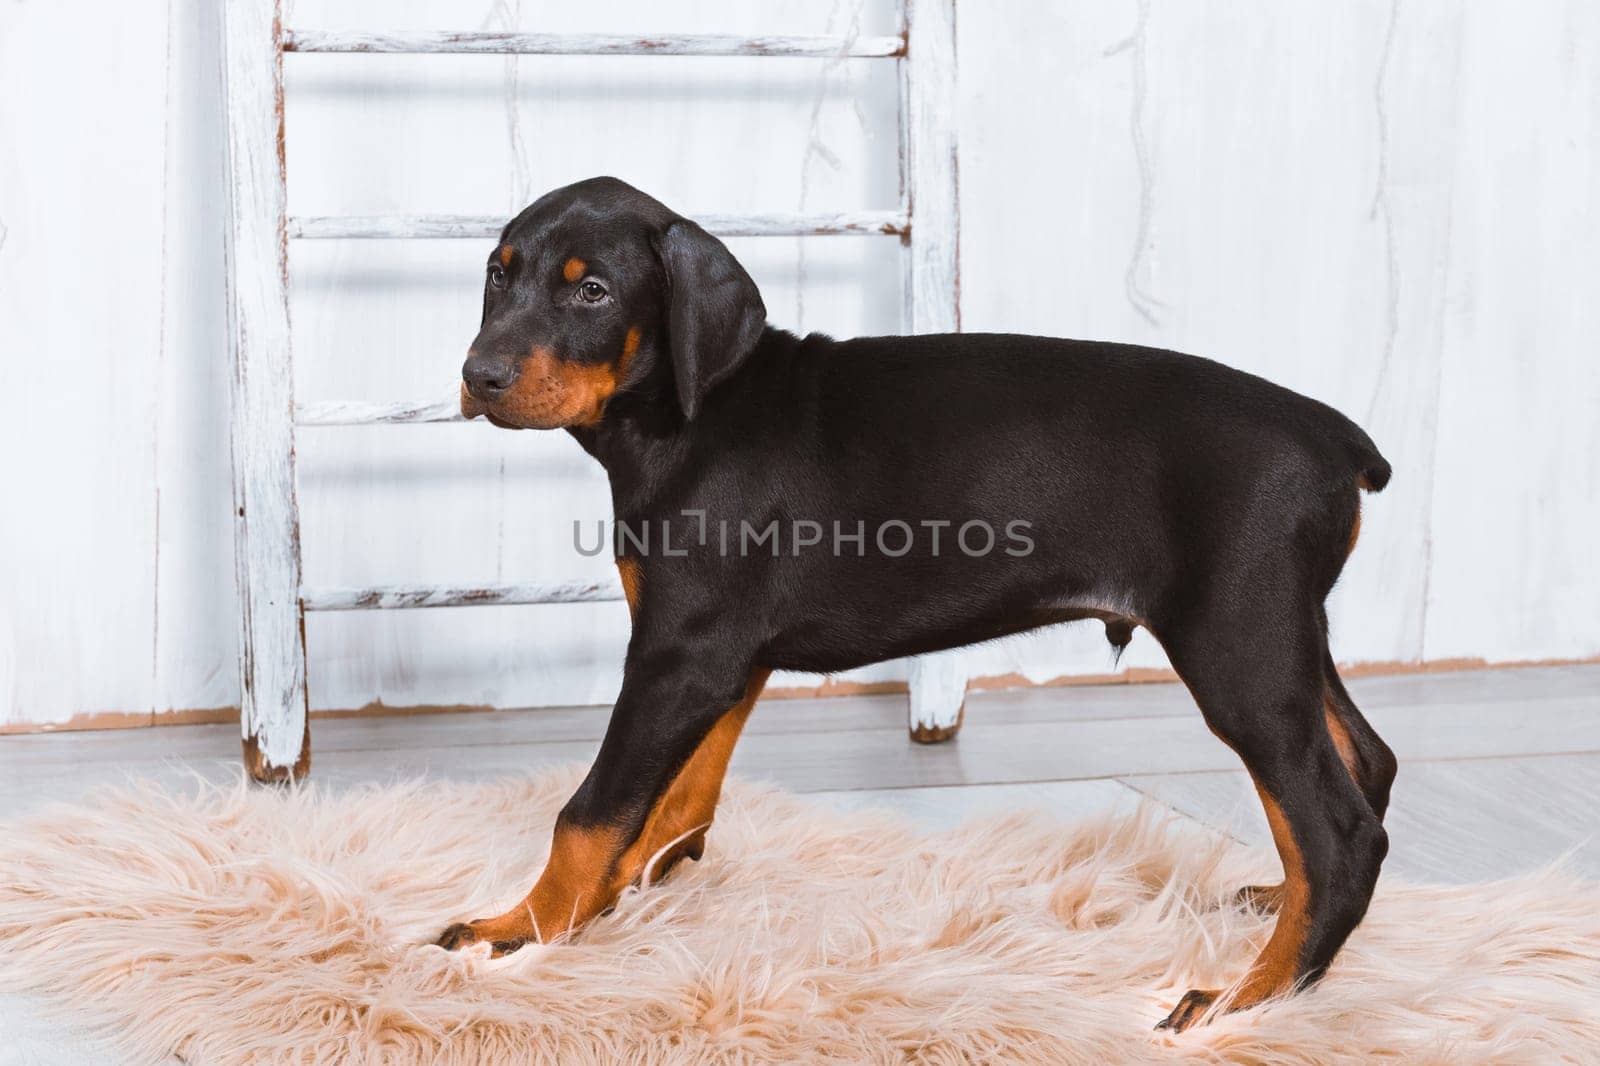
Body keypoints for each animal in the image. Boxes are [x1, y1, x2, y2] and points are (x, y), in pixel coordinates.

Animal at [441, 176, 1401, 1030]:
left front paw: (517, 930)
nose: (478, 375)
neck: (689, 415)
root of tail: (1336, 440)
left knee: (1339, 833)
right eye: (497, 274)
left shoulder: (682, 653)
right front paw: (632, 896)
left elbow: (591, 810)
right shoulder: (723, 660)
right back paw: (1278, 910)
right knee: (1368, 764)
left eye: (592, 290)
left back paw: (1248, 997)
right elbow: (679, 800)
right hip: (1283, 630)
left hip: (1236, 644)